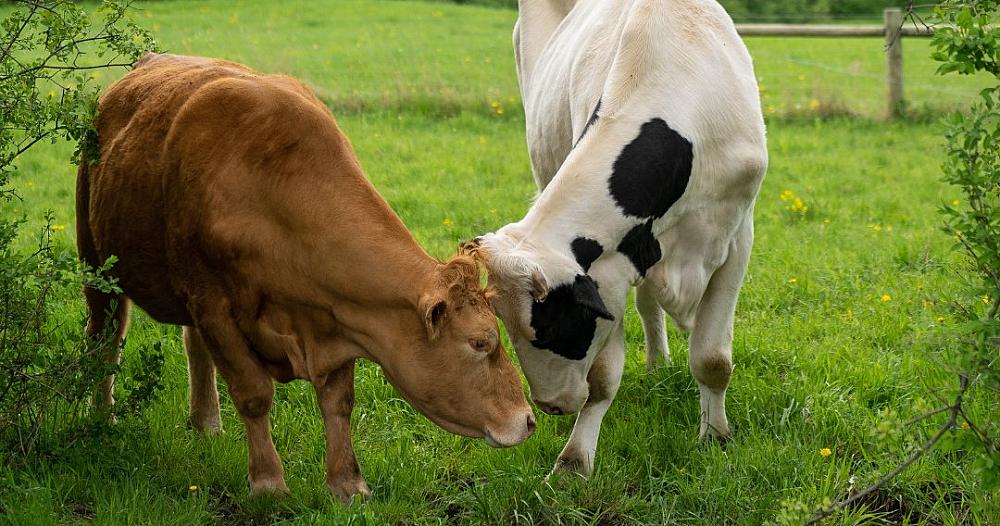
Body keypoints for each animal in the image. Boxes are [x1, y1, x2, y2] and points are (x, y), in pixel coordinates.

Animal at [76, 53, 535, 502]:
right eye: (480, 343)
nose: (528, 420)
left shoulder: (339, 314)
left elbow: (338, 402)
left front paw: (347, 484)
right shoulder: (213, 307)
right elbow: (254, 395)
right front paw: (268, 484)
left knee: (193, 348)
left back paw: (206, 423)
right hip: (97, 264)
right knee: (106, 338)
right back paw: (102, 417)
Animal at [466, 0, 767, 477]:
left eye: (554, 324)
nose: (550, 406)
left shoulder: (737, 239)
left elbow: (712, 358)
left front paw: (716, 437)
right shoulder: (612, 267)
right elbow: (602, 379)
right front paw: (575, 460)